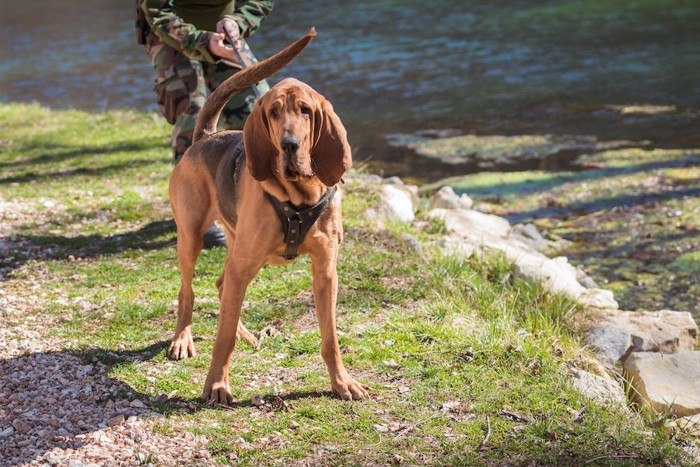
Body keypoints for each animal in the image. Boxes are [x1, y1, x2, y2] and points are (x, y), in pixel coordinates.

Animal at [167, 29, 370, 404]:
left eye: (305, 111)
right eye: (274, 112)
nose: (289, 144)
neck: (299, 198)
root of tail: (205, 136)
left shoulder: (326, 271)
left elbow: (330, 339)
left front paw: (342, 382)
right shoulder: (241, 263)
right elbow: (221, 340)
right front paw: (216, 385)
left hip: (242, 252)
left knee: (222, 286)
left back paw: (246, 334)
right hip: (192, 238)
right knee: (188, 292)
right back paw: (182, 340)